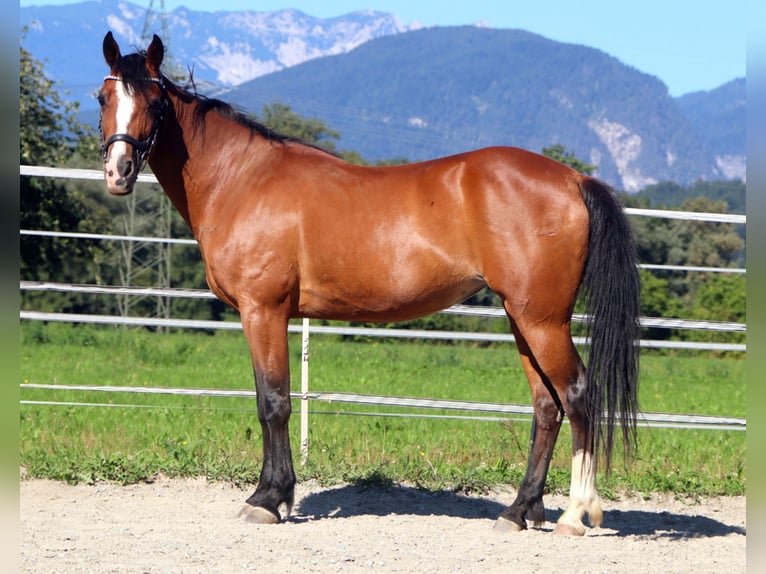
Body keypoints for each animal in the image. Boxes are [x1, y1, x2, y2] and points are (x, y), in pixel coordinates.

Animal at [98, 31, 640, 536]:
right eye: (103, 97)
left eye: (154, 103)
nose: (118, 172)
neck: (242, 179)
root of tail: (573, 179)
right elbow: (267, 399)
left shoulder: (263, 310)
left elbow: (273, 403)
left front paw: (268, 500)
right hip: (522, 319)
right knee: (547, 407)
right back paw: (518, 511)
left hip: (543, 320)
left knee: (578, 395)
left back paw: (576, 513)